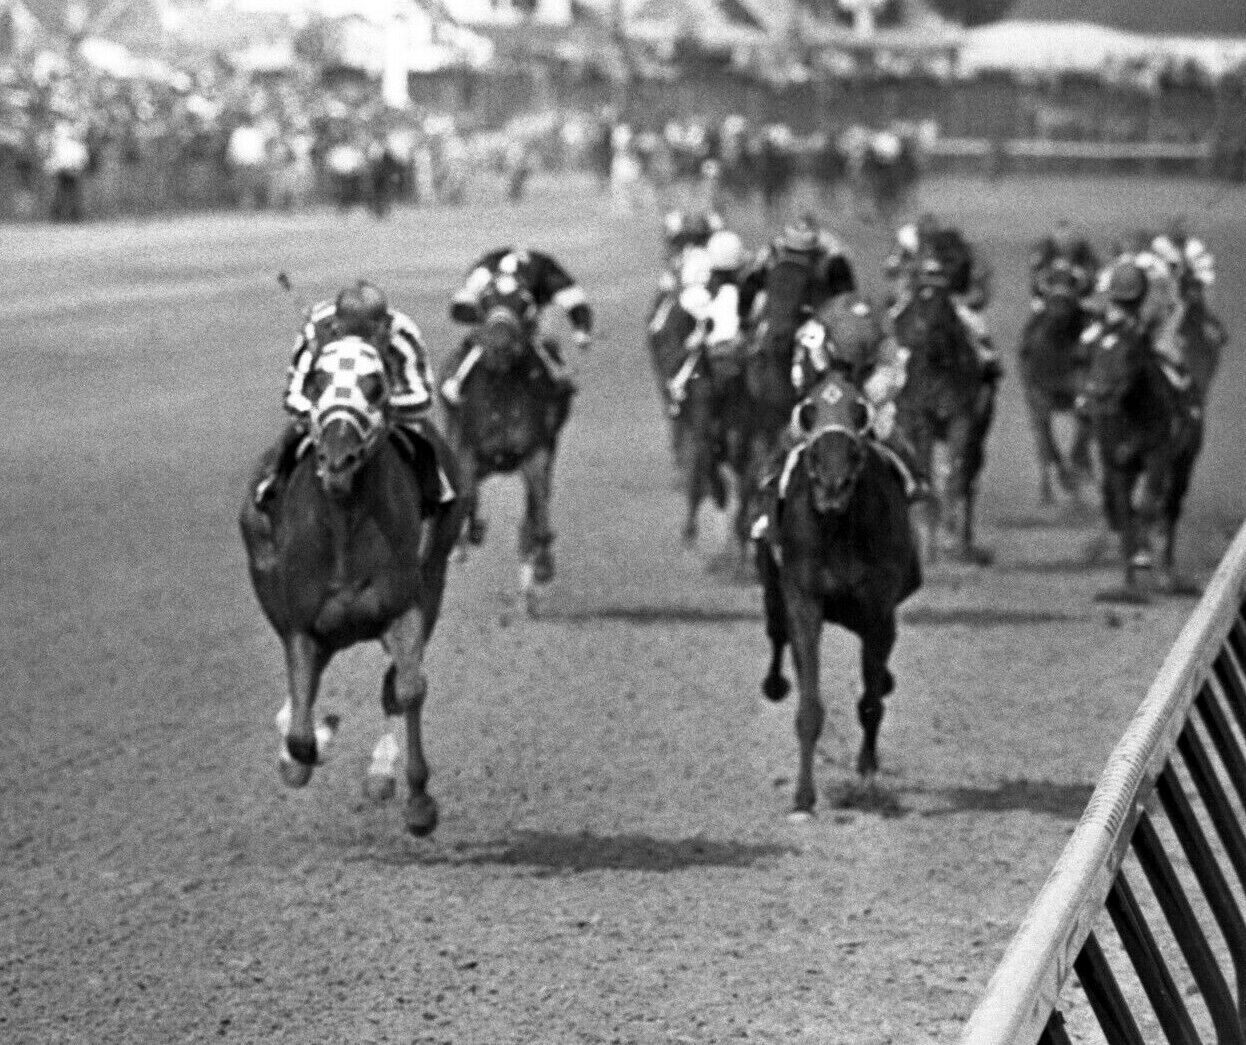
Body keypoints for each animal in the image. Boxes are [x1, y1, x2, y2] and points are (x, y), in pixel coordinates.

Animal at [236, 338, 463, 836]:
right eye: (317, 381)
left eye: (376, 386)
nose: (338, 460)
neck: (342, 527)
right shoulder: (302, 626)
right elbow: (301, 735)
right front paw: (302, 750)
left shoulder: (405, 607)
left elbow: (409, 689)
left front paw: (418, 802)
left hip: (435, 576)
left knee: (395, 685)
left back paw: (380, 769)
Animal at [752, 373, 922, 817]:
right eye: (808, 410)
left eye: (860, 411)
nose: (832, 484)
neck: (837, 527)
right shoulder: (804, 599)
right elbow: (810, 705)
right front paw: (802, 799)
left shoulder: (879, 609)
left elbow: (871, 702)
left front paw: (866, 777)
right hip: (774, 591)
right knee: (777, 635)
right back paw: (775, 682)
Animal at [897, 270, 991, 562]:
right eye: (917, 304)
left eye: (947, 307)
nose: (929, 338)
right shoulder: (923, 422)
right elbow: (926, 474)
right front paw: (929, 544)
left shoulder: (961, 420)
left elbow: (956, 475)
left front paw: (951, 541)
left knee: (969, 478)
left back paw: (965, 543)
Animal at [1081, 318, 1206, 600]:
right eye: (1093, 351)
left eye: (1129, 353)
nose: (1099, 393)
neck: (1131, 414)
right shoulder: (1117, 463)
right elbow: (1125, 512)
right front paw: (1128, 585)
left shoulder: (1157, 458)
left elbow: (1148, 506)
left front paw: (1143, 558)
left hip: (1182, 466)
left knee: (1170, 509)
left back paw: (1167, 574)